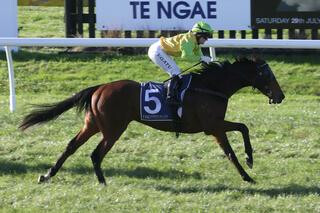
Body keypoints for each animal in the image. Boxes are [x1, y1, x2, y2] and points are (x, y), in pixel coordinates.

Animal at [19, 56, 284, 185]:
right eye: (268, 75)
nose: (280, 96)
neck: (211, 86)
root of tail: (100, 87)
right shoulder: (213, 126)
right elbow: (236, 142)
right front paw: (248, 169)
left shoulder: (215, 126)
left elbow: (241, 132)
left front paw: (249, 166)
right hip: (113, 128)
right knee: (95, 154)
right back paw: (103, 182)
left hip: (93, 124)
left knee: (71, 146)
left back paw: (47, 175)